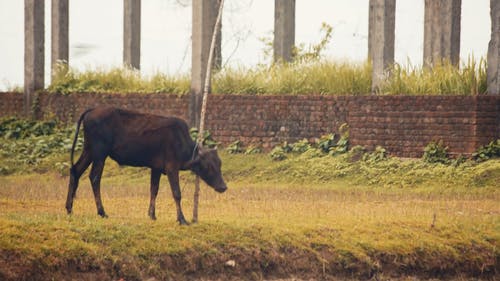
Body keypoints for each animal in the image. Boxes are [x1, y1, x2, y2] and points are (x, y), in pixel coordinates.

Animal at [64, 106, 227, 224]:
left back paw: (69, 208)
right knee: (94, 178)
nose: (223, 187)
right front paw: (182, 219)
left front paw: (152, 215)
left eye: (220, 164)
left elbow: (153, 190)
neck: (182, 143)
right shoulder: (171, 167)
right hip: (100, 154)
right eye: (209, 166)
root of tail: (92, 110)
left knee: (75, 171)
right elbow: (177, 193)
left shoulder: (156, 168)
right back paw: (101, 212)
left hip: (89, 150)